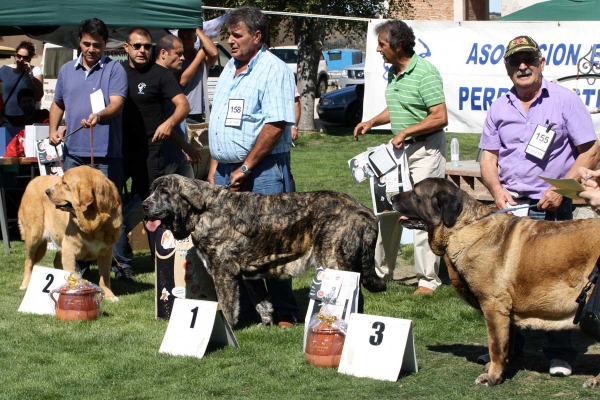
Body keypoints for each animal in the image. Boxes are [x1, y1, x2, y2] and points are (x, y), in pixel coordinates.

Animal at [18, 166, 122, 300]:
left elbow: (105, 276)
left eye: (65, 183)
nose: (47, 191)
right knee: (28, 262)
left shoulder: (106, 252)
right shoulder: (69, 250)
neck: (94, 224)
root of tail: (33, 180)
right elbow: (71, 272)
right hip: (34, 237)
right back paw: (25, 284)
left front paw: (109, 295)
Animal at [142, 175, 384, 328]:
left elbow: (227, 305)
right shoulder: (251, 275)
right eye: (152, 191)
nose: (144, 205)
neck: (203, 210)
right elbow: (263, 303)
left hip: (334, 263)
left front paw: (226, 328)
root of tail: (362, 210)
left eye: (164, 192)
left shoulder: (223, 272)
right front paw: (265, 324)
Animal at [394, 177, 600, 388]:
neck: (462, 226)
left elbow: (495, 345)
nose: (392, 197)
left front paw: (491, 377)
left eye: (416, 194)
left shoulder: (493, 304)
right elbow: (507, 343)